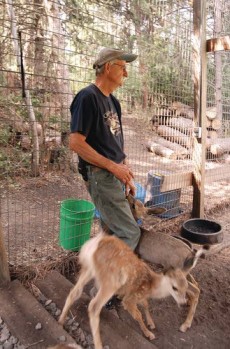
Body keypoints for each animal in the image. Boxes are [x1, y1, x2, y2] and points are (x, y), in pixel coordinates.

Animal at [58, 231, 207, 348]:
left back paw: (61, 320)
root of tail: (92, 246)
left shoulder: (137, 294)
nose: (182, 303)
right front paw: (149, 333)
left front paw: (151, 324)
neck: (152, 284)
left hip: (88, 269)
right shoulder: (130, 298)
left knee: (74, 292)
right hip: (110, 281)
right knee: (94, 306)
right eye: (174, 287)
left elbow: (145, 304)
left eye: (184, 287)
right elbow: (137, 314)